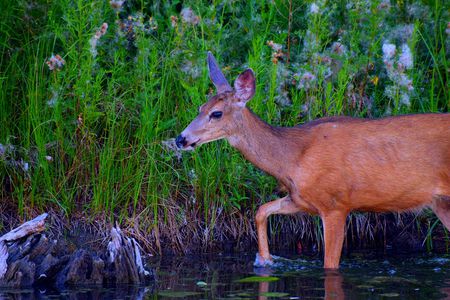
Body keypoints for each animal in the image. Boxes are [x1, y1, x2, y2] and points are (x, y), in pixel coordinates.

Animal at [176, 52, 450, 270]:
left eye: (216, 113)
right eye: (200, 107)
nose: (181, 139)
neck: (292, 157)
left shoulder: (335, 204)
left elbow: (330, 264)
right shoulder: (301, 199)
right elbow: (261, 210)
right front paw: (265, 259)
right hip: (441, 202)